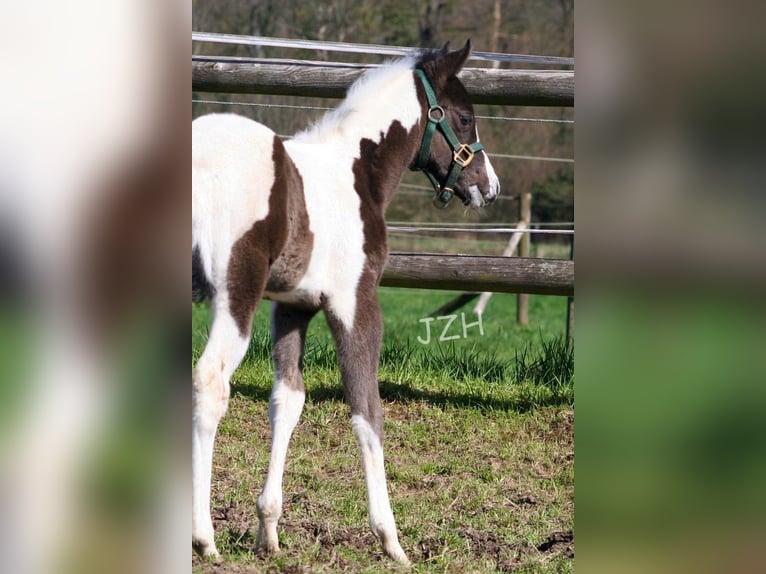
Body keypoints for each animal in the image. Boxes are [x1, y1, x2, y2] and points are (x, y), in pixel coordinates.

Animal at [192, 40, 500, 565]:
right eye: (464, 117)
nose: (489, 187)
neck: (355, 172)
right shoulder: (355, 304)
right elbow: (366, 410)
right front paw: (390, 539)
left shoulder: (292, 306)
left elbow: (287, 401)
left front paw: (268, 531)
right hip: (235, 297)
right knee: (209, 383)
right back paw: (203, 537)